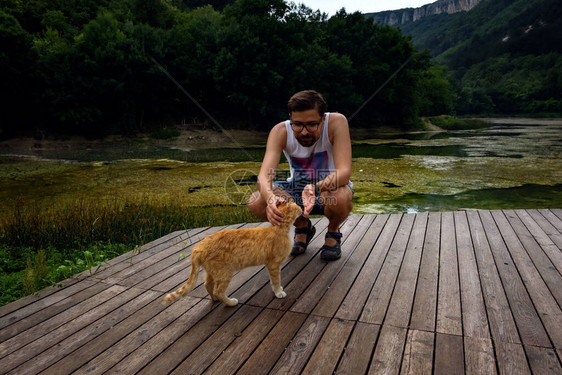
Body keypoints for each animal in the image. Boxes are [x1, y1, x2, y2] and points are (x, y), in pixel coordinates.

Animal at [162, 203, 302, 306]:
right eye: (296, 206)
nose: (301, 208)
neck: (280, 228)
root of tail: (198, 247)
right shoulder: (273, 264)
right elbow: (276, 280)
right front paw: (279, 292)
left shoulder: (271, 265)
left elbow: (274, 281)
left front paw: (278, 290)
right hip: (225, 273)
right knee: (218, 291)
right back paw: (230, 302)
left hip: (213, 272)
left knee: (208, 285)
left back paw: (214, 299)